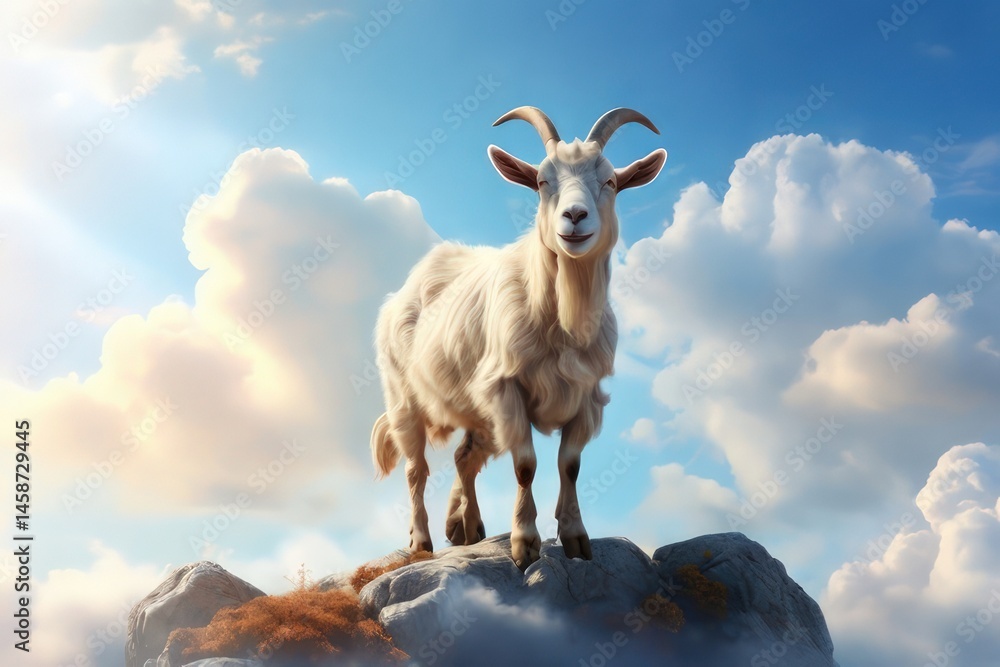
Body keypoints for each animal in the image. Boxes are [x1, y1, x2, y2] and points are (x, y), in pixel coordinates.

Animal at [371, 107, 666, 570]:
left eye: (610, 182)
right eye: (542, 182)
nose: (575, 216)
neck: (561, 320)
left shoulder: (586, 396)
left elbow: (570, 465)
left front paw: (576, 538)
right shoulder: (508, 389)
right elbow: (526, 465)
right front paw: (524, 544)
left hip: (478, 409)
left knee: (464, 457)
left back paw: (467, 527)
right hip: (403, 397)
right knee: (415, 468)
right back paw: (421, 542)